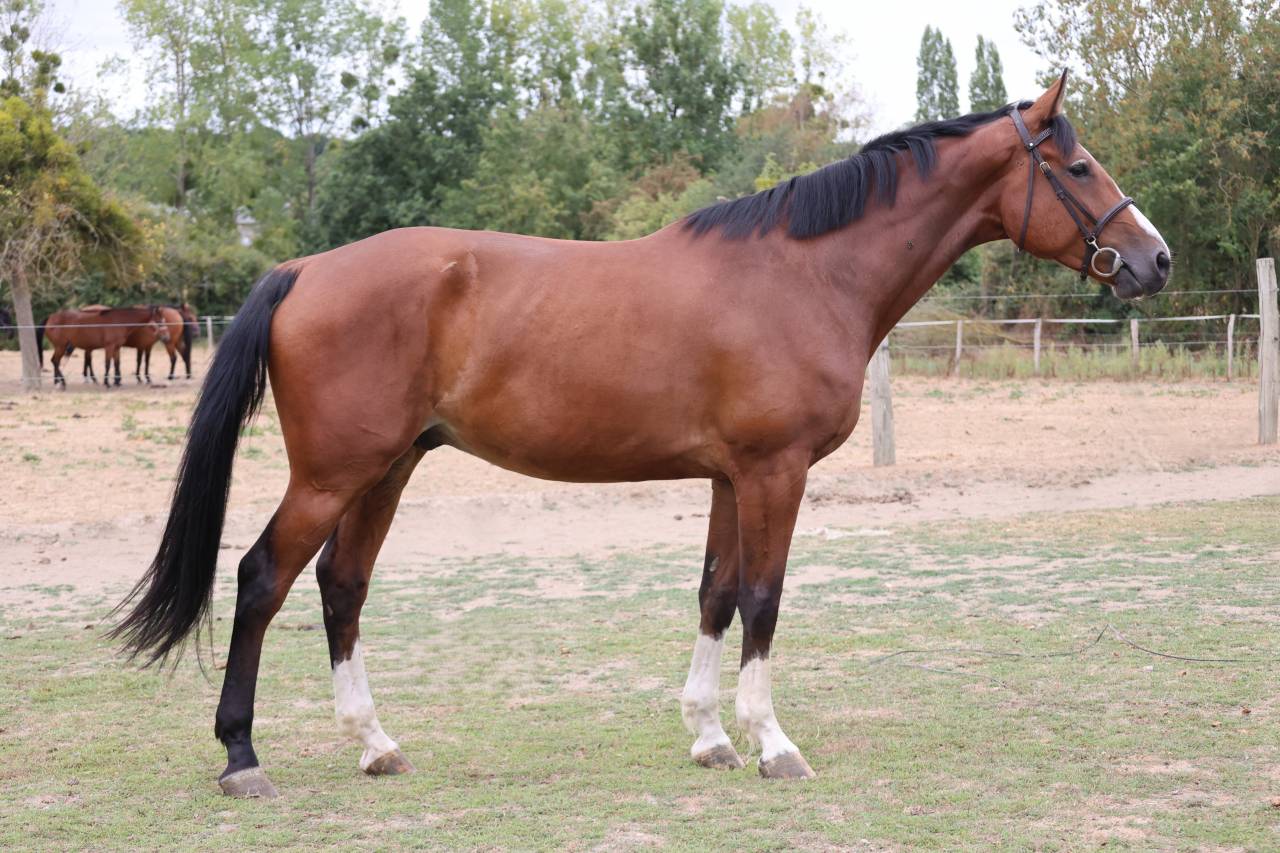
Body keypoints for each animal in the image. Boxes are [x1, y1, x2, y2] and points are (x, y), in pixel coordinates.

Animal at [38, 305, 169, 388]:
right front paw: (107, 383)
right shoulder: (109, 347)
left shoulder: (116, 348)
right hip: (60, 346)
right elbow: (108, 364)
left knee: (55, 361)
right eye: (160, 320)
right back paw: (63, 382)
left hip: (62, 346)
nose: (166, 337)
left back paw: (59, 382)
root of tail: (50, 317)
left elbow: (117, 363)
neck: (119, 321)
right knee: (55, 361)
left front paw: (117, 382)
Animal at [112, 73, 1170, 799]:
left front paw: (709, 737)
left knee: (341, 585)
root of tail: (304, 267)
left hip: (388, 469)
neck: (806, 274)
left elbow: (714, 594)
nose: (1153, 260)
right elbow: (764, 599)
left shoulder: (728, 477)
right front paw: (773, 744)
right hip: (336, 472)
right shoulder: (775, 472)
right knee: (262, 578)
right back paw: (242, 755)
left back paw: (376, 744)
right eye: (1078, 168)